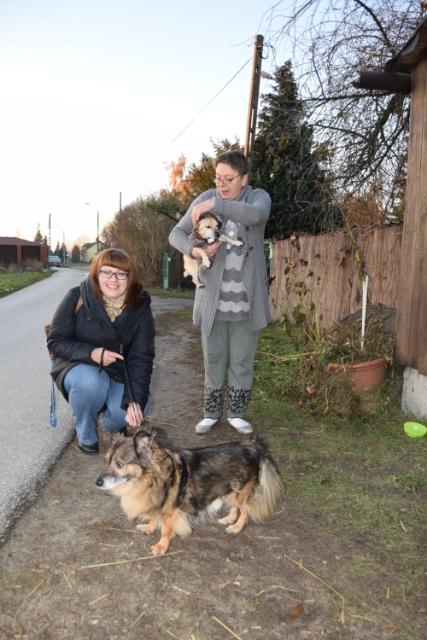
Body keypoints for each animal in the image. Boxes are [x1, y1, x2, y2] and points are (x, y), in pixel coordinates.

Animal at [96, 429, 284, 556]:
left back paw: (236, 527)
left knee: (245, 511)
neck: (148, 479)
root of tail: (253, 446)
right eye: (106, 461)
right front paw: (149, 527)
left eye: (119, 464)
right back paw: (229, 519)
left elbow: (165, 531)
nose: (97, 483)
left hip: (240, 492)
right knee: (235, 507)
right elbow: (153, 517)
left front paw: (161, 547)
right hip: (229, 491)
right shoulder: (157, 504)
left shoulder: (171, 511)